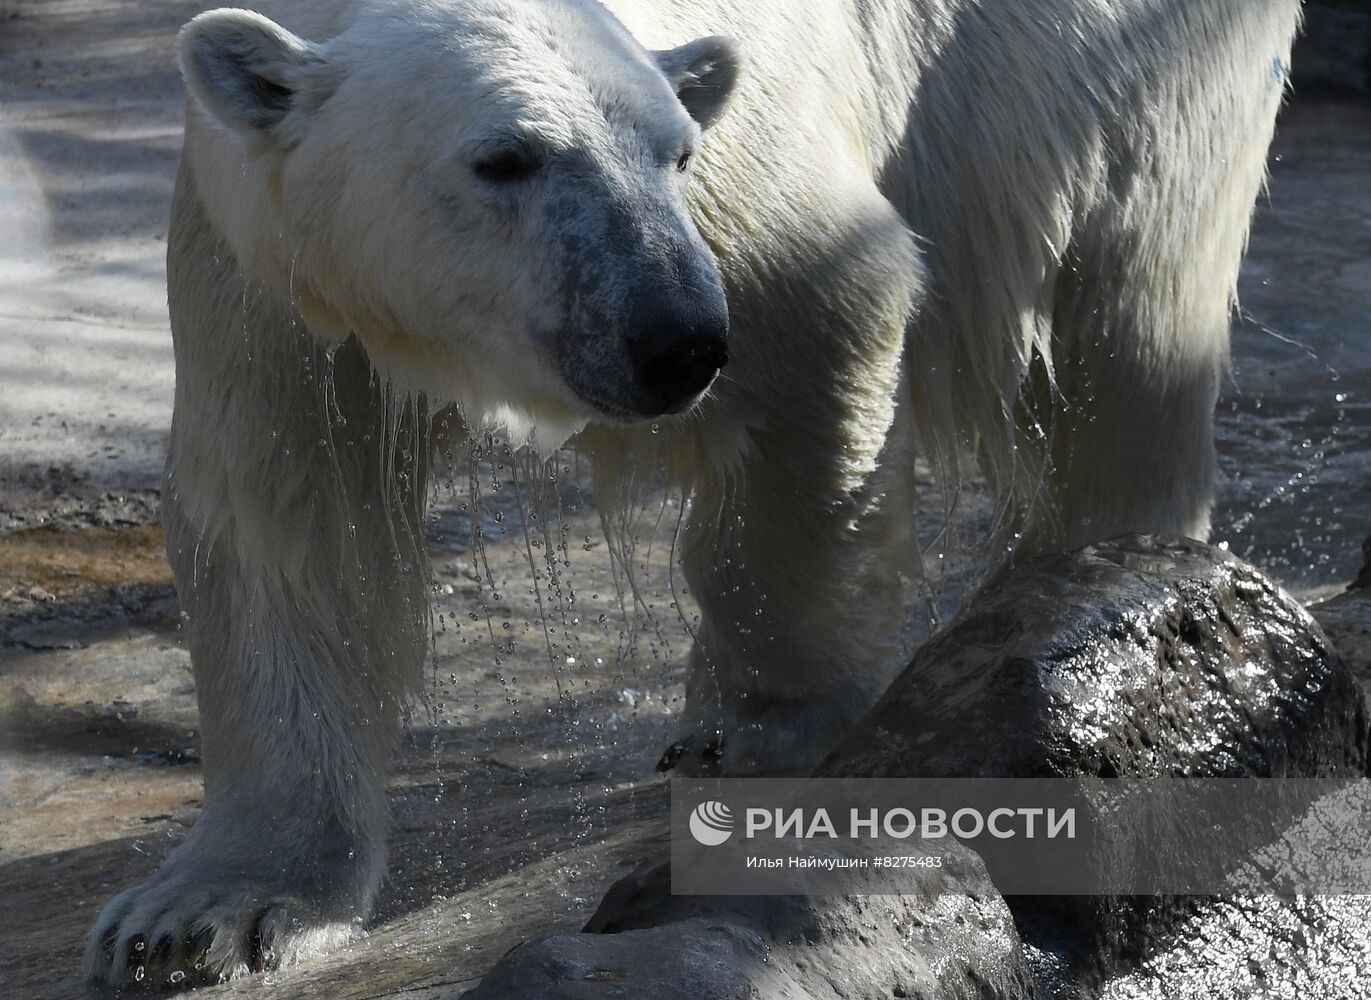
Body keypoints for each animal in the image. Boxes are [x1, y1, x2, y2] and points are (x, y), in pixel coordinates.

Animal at [82, 0, 1294, 982]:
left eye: (674, 150)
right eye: (505, 158)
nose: (675, 341)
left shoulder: (746, 178)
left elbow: (821, 312)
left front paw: (758, 735)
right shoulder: (271, 267)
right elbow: (287, 518)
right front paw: (204, 916)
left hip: (1126, 65)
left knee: (1128, 325)